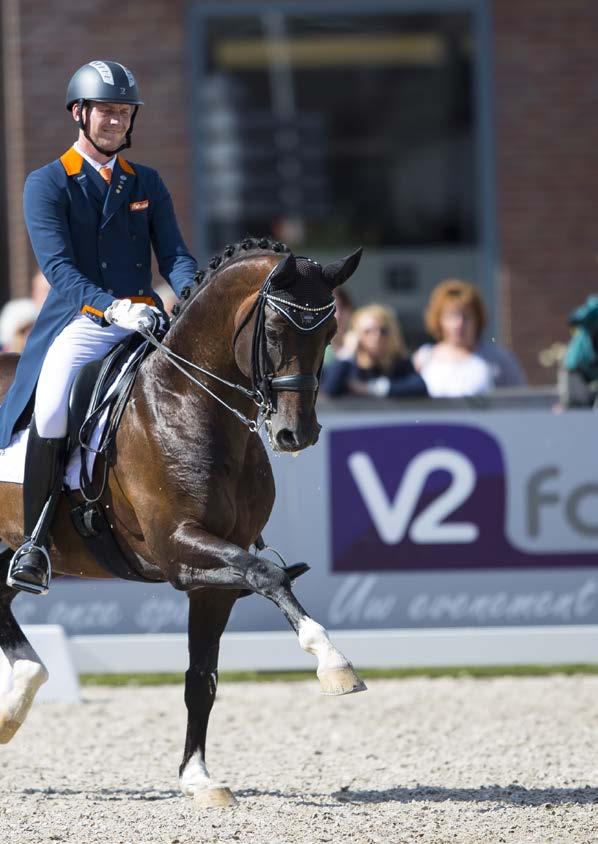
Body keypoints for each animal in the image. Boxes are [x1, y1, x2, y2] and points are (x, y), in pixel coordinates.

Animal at [0, 241, 366, 808]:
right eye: (275, 332)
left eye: (329, 334)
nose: (295, 434)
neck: (187, 403)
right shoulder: (179, 549)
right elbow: (266, 575)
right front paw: (333, 663)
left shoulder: (210, 578)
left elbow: (202, 677)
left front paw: (198, 778)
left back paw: (15, 704)